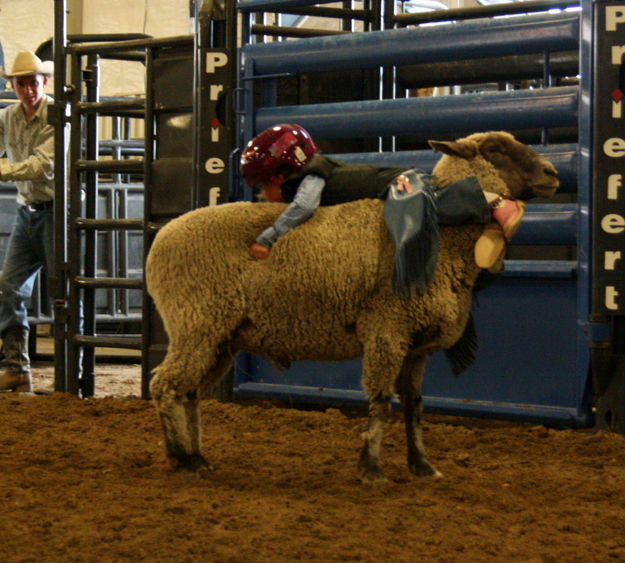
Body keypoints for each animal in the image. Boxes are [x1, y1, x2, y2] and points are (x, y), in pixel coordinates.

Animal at [147, 132, 560, 484]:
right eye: (494, 149)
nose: (552, 173)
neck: (443, 233)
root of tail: (161, 239)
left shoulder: (417, 346)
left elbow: (415, 406)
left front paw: (422, 466)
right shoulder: (387, 330)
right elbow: (380, 403)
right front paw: (372, 470)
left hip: (220, 337)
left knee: (188, 393)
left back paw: (197, 457)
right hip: (196, 324)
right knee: (164, 384)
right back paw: (180, 458)